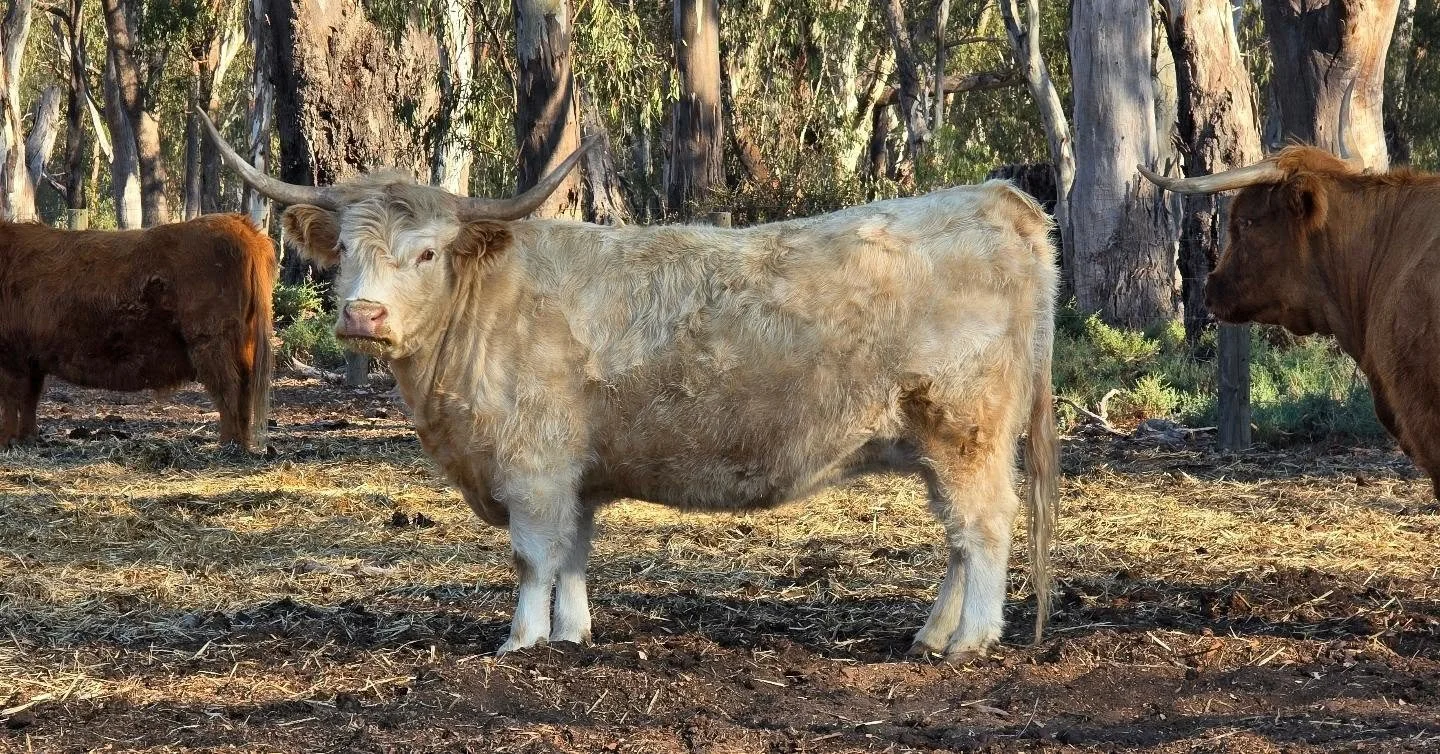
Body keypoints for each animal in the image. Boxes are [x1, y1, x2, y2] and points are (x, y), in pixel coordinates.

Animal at [0, 215, 276, 451]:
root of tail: (239, 225)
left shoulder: (11, 357)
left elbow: (10, 399)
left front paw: (6, 441)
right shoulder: (30, 358)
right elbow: (29, 398)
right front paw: (26, 438)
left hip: (211, 341)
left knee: (229, 388)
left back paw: (228, 445)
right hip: (240, 345)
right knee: (244, 388)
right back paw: (242, 443)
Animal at [202, 112, 1059, 658]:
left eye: (425, 253)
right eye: (346, 251)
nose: (363, 314)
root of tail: (993, 196)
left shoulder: (534, 467)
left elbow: (533, 558)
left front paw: (521, 641)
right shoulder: (575, 474)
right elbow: (575, 554)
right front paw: (572, 635)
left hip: (964, 429)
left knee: (985, 528)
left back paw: (970, 642)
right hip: (938, 443)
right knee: (958, 539)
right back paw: (934, 634)